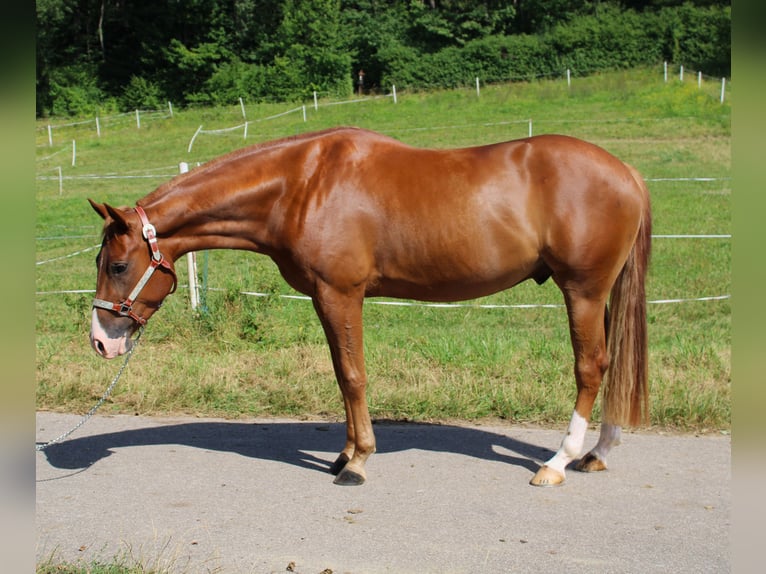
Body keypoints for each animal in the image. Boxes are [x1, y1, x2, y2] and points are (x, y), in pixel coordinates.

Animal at [91, 128, 656, 488]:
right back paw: (598, 455)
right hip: (601, 295)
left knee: (591, 367)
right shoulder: (324, 298)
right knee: (613, 365)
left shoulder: (341, 293)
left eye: (117, 264)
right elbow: (342, 375)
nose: (101, 340)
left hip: (582, 291)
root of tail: (627, 171)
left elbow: (354, 374)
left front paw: (359, 461)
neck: (301, 184)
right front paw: (343, 455)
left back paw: (559, 461)